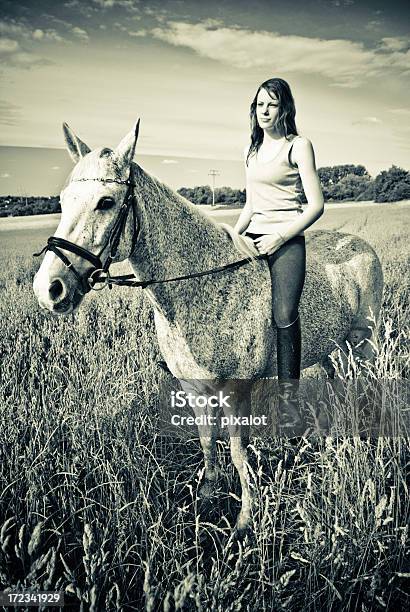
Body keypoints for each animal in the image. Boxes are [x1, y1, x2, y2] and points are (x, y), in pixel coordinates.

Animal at [33, 123, 382, 532]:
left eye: (105, 201)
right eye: (63, 199)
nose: (49, 289)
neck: (202, 287)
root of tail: (363, 245)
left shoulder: (236, 391)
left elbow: (237, 451)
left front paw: (245, 519)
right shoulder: (195, 389)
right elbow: (206, 443)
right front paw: (207, 496)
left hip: (364, 344)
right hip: (332, 347)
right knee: (336, 381)